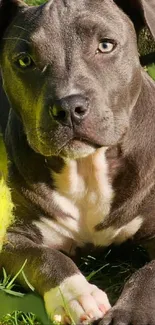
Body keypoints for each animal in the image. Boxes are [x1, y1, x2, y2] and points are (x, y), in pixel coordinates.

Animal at [0, 0, 155, 322]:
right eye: (24, 61)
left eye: (106, 45)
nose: (69, 108)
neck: (86, 169)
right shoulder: (11, 234)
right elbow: (44, 256)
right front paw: (75, 295)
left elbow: (147, 276)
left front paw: (131, 313)